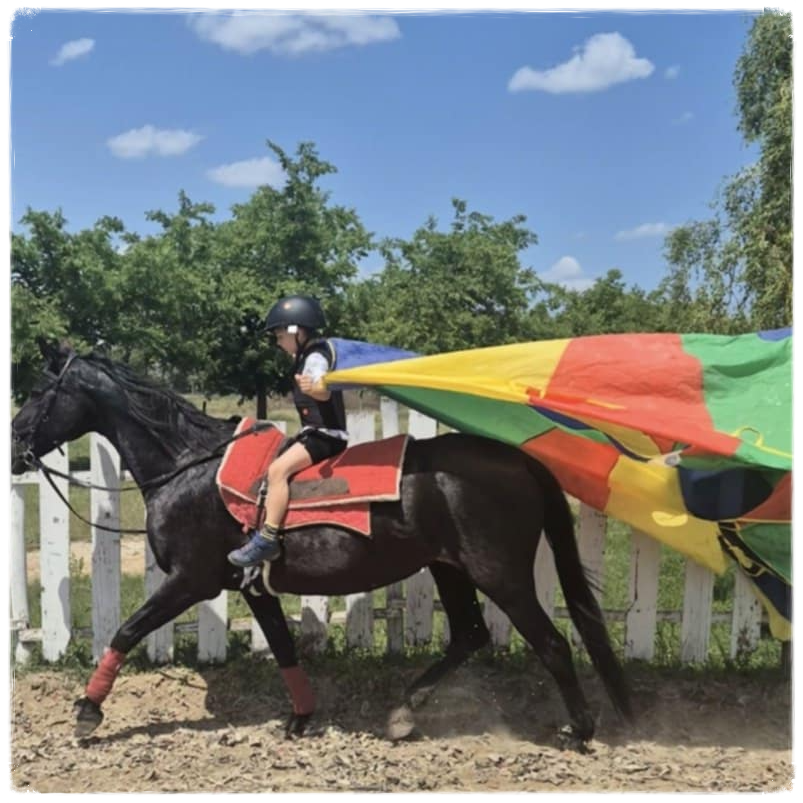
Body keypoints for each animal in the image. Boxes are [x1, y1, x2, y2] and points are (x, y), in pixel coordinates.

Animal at [11, 340, 632, 747]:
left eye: (40, 389)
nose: (15, 444)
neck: (189, 467)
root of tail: (521, 460)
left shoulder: (191, 581)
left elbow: (126, 630)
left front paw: (87, 711)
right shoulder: (252, 587)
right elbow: (284, 647)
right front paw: (302, 717)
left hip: (498, 573)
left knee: (552, 644)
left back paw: (579, 730)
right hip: (450, 569)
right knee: (471, 635)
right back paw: (403, 715)